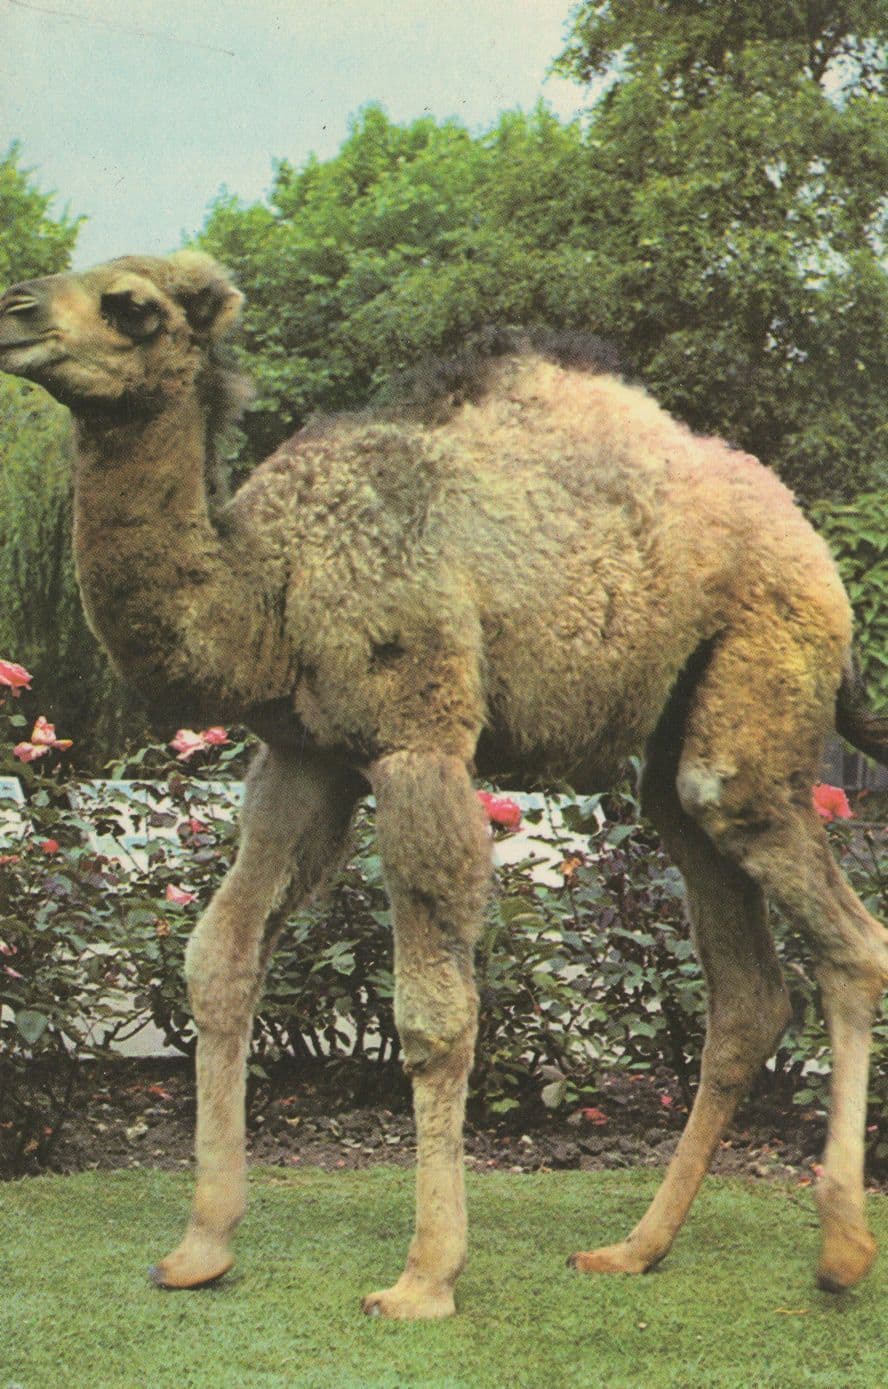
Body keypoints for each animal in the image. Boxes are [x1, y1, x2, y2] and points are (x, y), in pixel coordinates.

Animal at [1, 251, 886, 1320]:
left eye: (130, 306)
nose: (13, 311)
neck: (271, 582)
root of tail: (818, 552)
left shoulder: (418, 737)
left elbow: (432, 1015)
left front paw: (424, 1276)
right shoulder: (303, 754)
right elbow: (220, 958)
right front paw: (200, 1246)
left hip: (761, 679)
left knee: (845, 934)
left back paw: (840, 1248)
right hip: (679, 747)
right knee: (745, 985)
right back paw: (633, 1249)